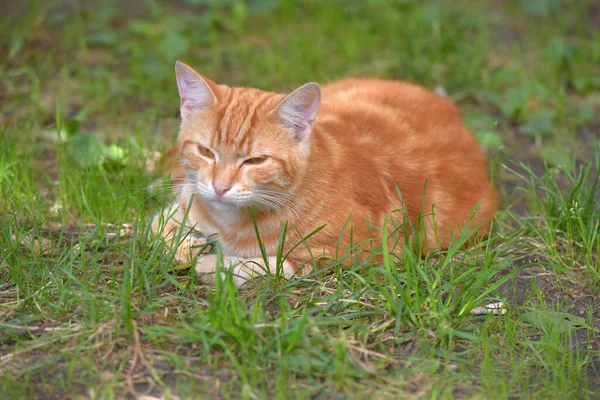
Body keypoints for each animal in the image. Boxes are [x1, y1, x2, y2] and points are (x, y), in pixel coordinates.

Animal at [154, 61, 496, 286]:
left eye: (256, 160)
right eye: (205, 151)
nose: (220, 187)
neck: (230, 224)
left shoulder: (366, 254)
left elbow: (265, 265)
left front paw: (210, 261)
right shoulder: (188, 199)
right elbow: (158, 228)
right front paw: (183, 242)